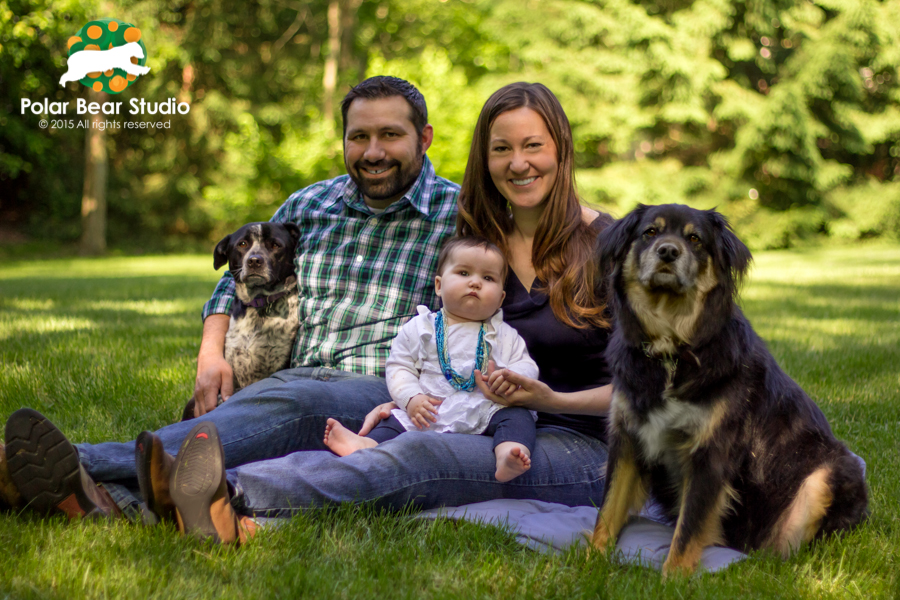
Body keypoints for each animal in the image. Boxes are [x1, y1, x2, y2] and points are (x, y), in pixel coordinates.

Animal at [588, 205, 868, 576]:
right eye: (650, 232)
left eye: (695, 239)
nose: (668, 251)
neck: (672, 350)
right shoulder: (627, 439)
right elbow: (608, 510)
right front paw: (589, 561)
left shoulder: (712, 452)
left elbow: (688, 529)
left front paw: (672, 578)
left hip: (829, 474)